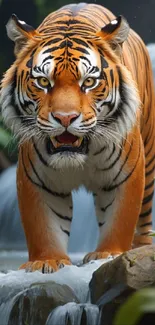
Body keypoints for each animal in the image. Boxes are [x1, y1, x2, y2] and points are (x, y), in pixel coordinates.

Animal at [0, 3, 155, 270]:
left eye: (89, 81)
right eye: (43, 81)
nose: (65, 118)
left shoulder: (128, 174)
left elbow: (120, 219)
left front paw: (109, 254)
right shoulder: (37, 181)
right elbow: (44, 226)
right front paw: (47, 261)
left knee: (143, 218)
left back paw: (142, 249)